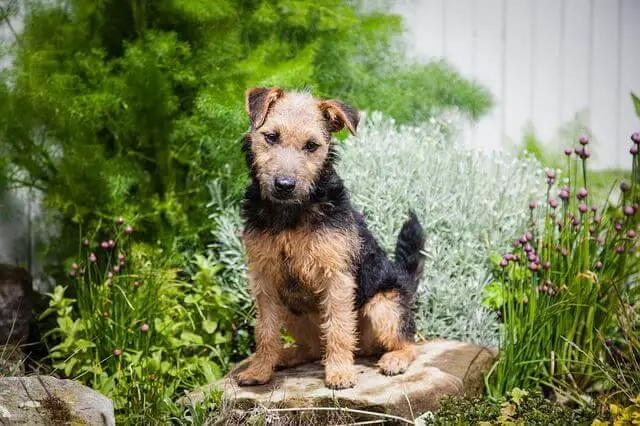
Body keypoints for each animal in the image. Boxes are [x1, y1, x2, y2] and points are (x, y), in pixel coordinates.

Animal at [236, 87, 424, 390]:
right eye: (271, 136)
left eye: (311, 145)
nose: (284, 185)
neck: (290, 214)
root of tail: (406, 279)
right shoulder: (264, 279)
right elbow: (265, 331)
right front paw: (259, 370)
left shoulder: (336, 277)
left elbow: (338, 328)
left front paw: (339, 373)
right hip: (291, 309)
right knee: (312, 348)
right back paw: (285, 357)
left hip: (384, 307)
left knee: (408, 343)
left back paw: (394, 359)